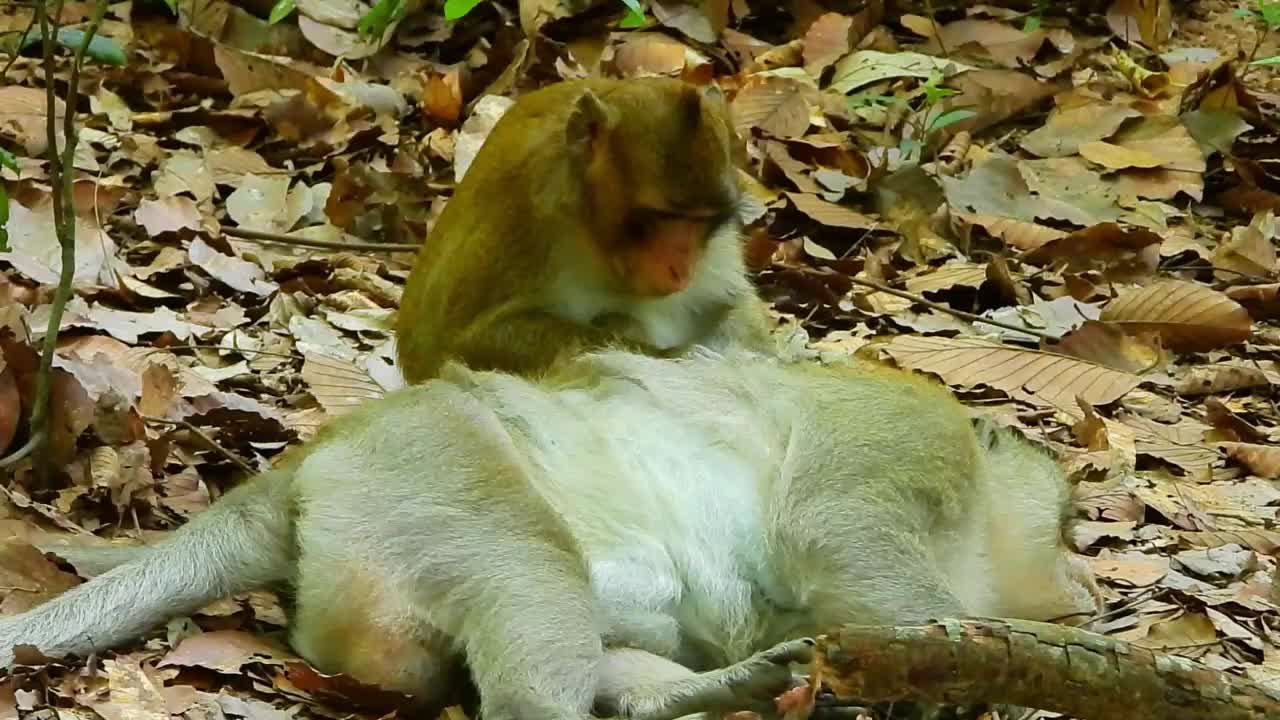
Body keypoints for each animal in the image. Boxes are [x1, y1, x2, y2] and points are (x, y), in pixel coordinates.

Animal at [0, 349, 1100, 720]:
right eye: (1068, 522)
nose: (1086, 584)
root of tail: (303, 468)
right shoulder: (907, 435)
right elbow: (837, 533)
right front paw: (996, 668)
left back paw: (707, 694)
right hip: (437, 462)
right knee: (528, 574)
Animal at [394, 77, 774, 383]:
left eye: (702, 221)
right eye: (662, 216)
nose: (681, 268)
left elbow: (734, 305)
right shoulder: (526, 219)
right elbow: (465, 341)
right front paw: (674, 358)